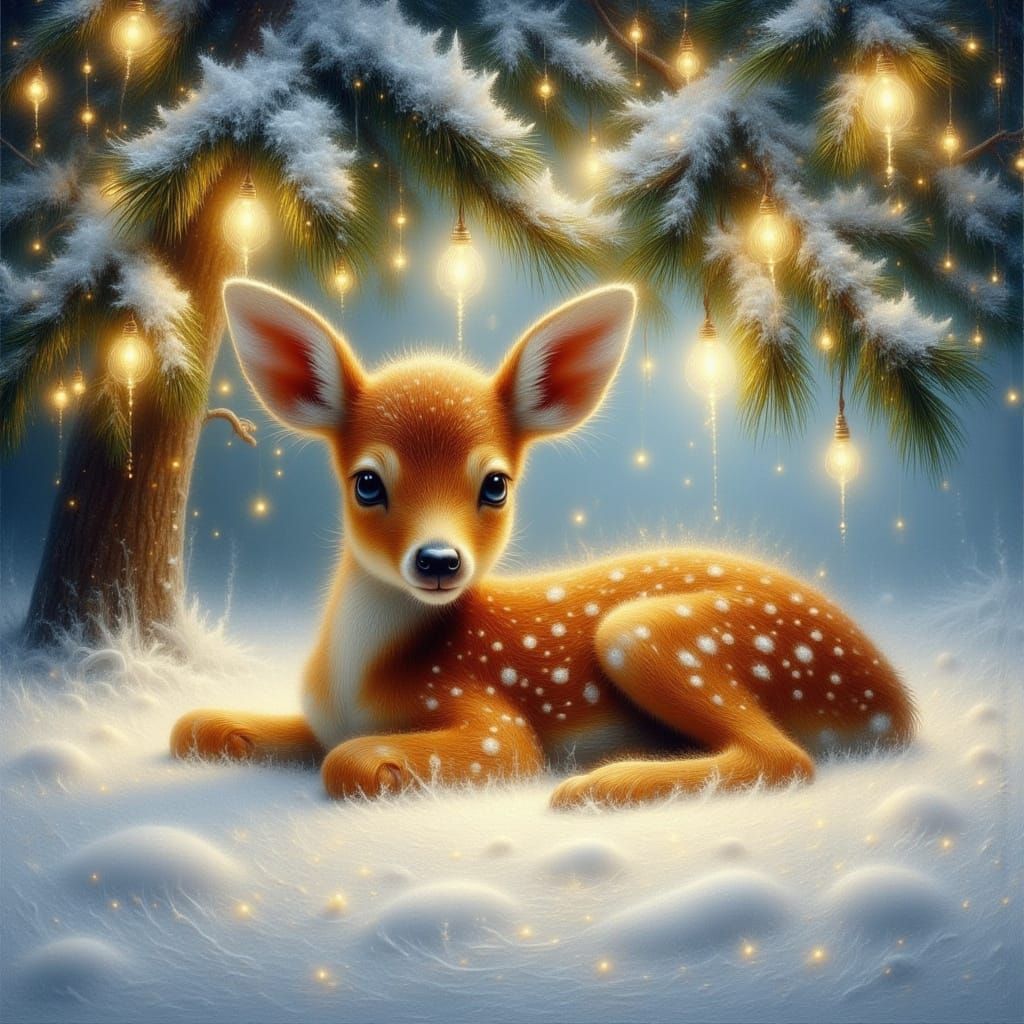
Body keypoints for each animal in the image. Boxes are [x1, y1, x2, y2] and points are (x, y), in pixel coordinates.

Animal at [171, 280, 915, 808]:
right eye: (367, 483)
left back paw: (603, 785)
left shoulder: (494, 726)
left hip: (655, 632)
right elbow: (200, 728)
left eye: (495, 484)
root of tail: (895, 706)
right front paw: (217, 728)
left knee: (785, 759)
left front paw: (388, 770)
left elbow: (353, 762)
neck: (363, 676)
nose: (438, 561)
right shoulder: (321, 718)